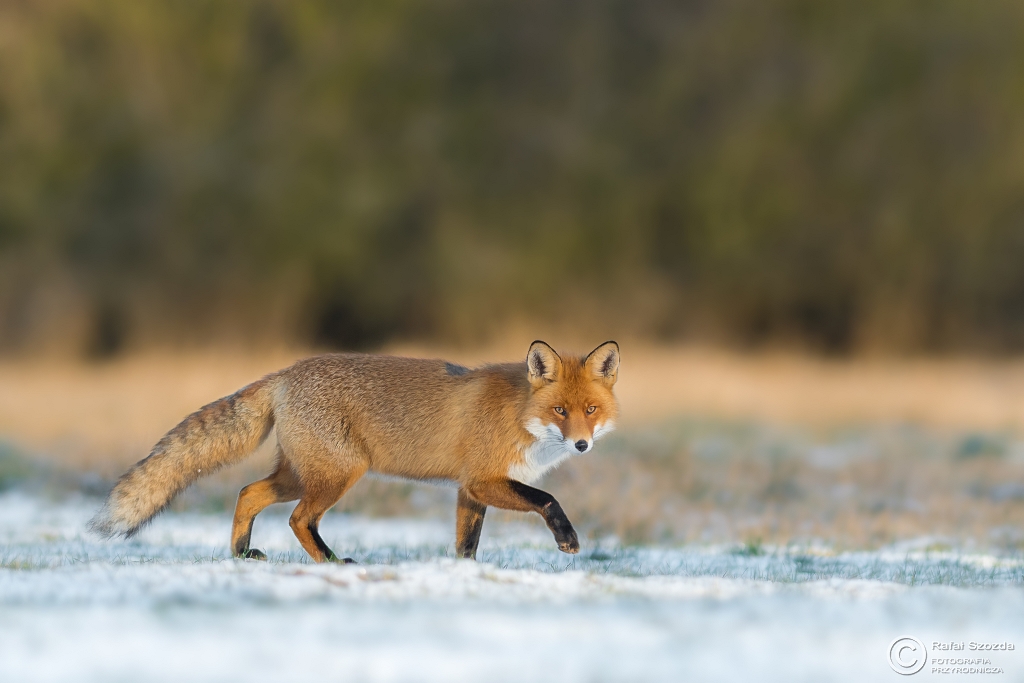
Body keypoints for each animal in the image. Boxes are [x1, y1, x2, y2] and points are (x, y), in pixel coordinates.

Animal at [90, 340, 620, 563]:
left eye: (591, 410)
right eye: (559, 410)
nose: (581, 444)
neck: (519, 413)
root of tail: (285, 373)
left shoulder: (470, 490)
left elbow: (466, 546)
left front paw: (462, 579)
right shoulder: (483, 480)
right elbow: (547, 500)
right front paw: (567, 539)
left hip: (299, 475)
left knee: (247, 493)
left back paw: (241, 554)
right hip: (336, 476)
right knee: (298, 520)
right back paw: (329, 561)